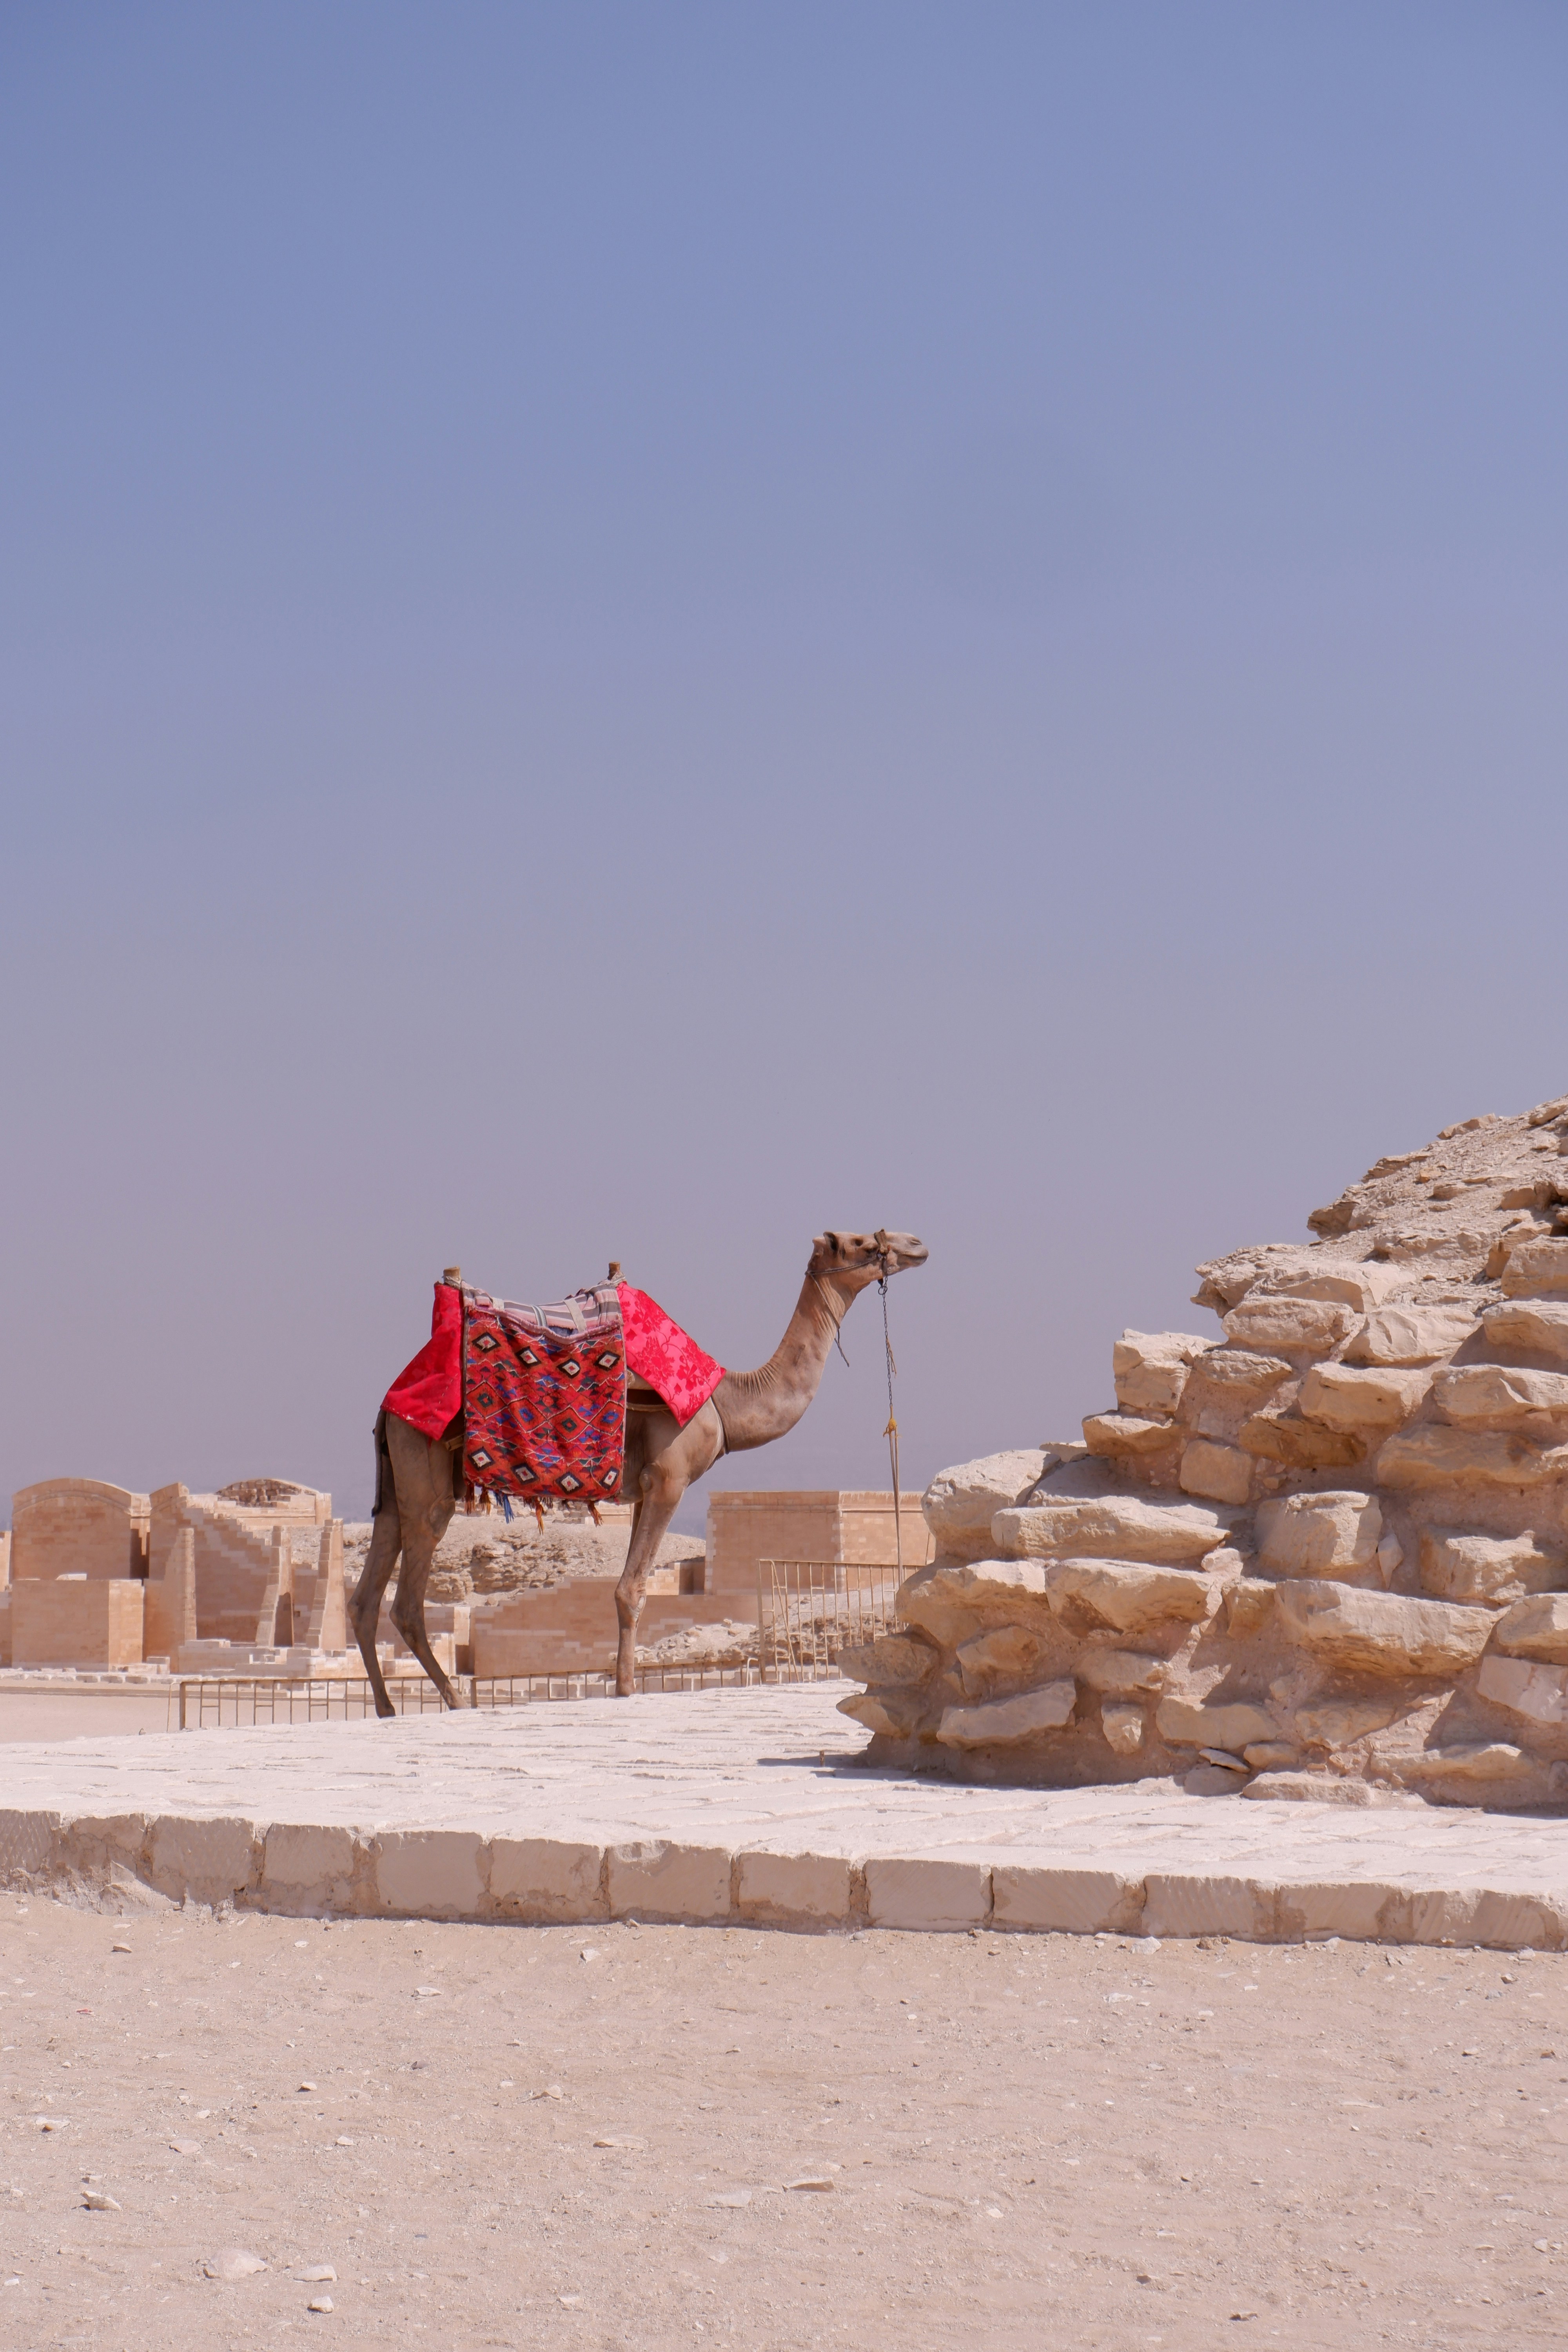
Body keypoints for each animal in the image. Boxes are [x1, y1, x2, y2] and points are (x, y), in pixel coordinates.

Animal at [349, 1228, 928, 1714]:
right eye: (860, 1241)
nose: (916, 1244)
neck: (724, 1402)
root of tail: (388, 1403)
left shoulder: (644, 1489)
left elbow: (629, 1586)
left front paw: (623, 1681)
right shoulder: (670, 1478)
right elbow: (631, 1590)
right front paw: (626, 1689)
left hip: (396, 1478)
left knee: (366, 1593)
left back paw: (386, 1708)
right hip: (425, 1467)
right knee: (408, 1594)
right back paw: (452, 1700)